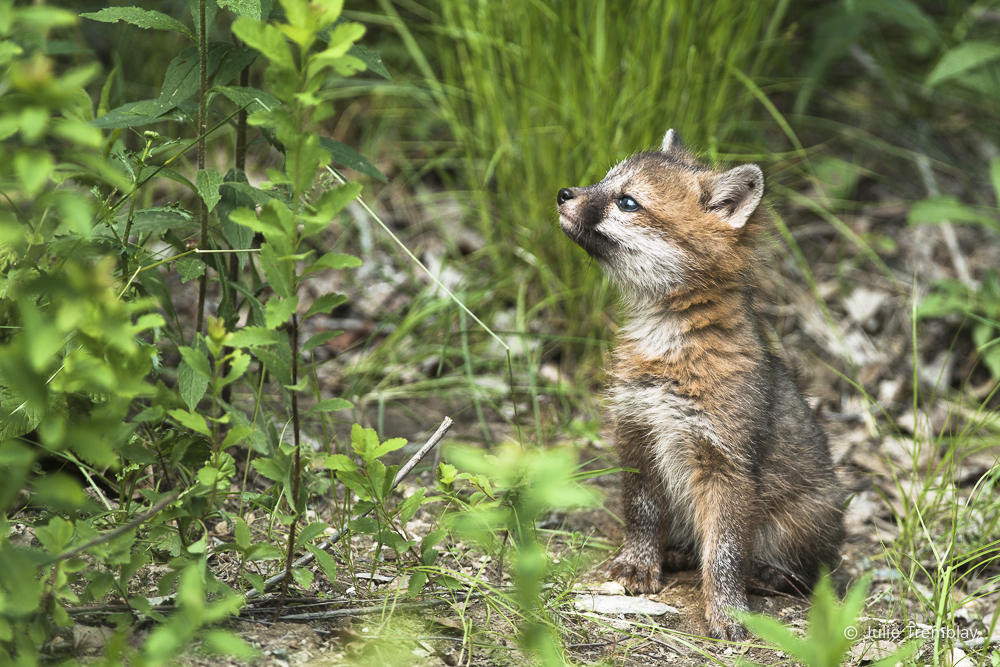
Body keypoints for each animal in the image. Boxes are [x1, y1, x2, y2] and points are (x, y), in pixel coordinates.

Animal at [556, 129, 845, 641]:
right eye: (602, 181)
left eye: (627, 202)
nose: (562, 193)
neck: (667, 347)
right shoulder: (638, 432)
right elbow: (642, 513)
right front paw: (640, 564)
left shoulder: (725, 463)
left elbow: (726, 552)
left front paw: (728, 611)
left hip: (806, 518)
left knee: (806, 571)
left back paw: (767, 574)